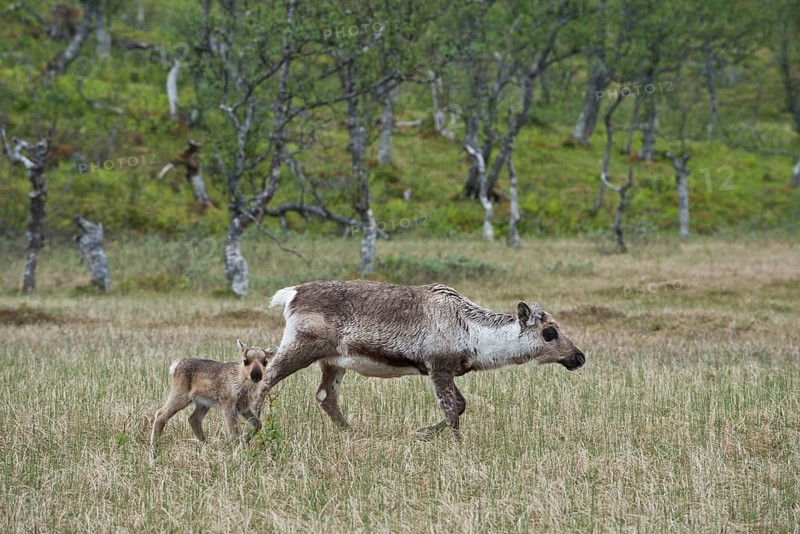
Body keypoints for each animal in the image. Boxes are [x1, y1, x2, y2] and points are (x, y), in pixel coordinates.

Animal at [253, 280, 586, 437]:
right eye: (549, 332)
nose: (579, 357)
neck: (473, 333)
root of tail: (290, 295)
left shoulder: (446, 370)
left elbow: (461, 405)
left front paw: (423, 432)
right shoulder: (438, 367)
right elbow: (451, 409)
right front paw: (453, 443)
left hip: (332, 361)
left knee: (325, 396)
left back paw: (352, 432)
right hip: (300, 347)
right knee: (264, 379)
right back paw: (254, 426)